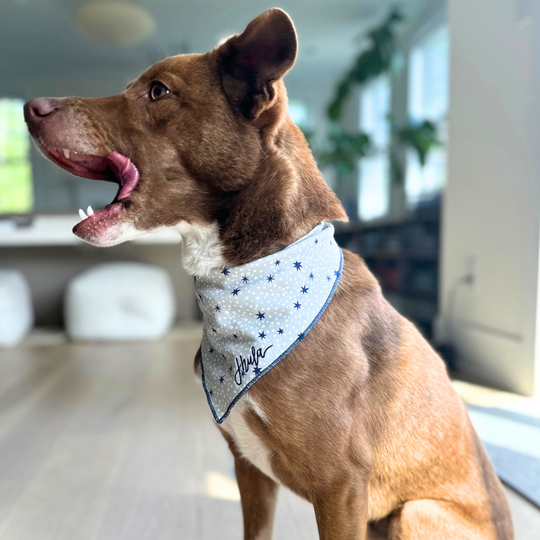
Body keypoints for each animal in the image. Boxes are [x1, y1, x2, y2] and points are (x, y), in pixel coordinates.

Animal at [26, 8, 516, 540]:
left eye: (158, 91)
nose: (30, 107)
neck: (247, 280)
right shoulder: (249, 466)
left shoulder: (340, 487)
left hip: (416, 513)